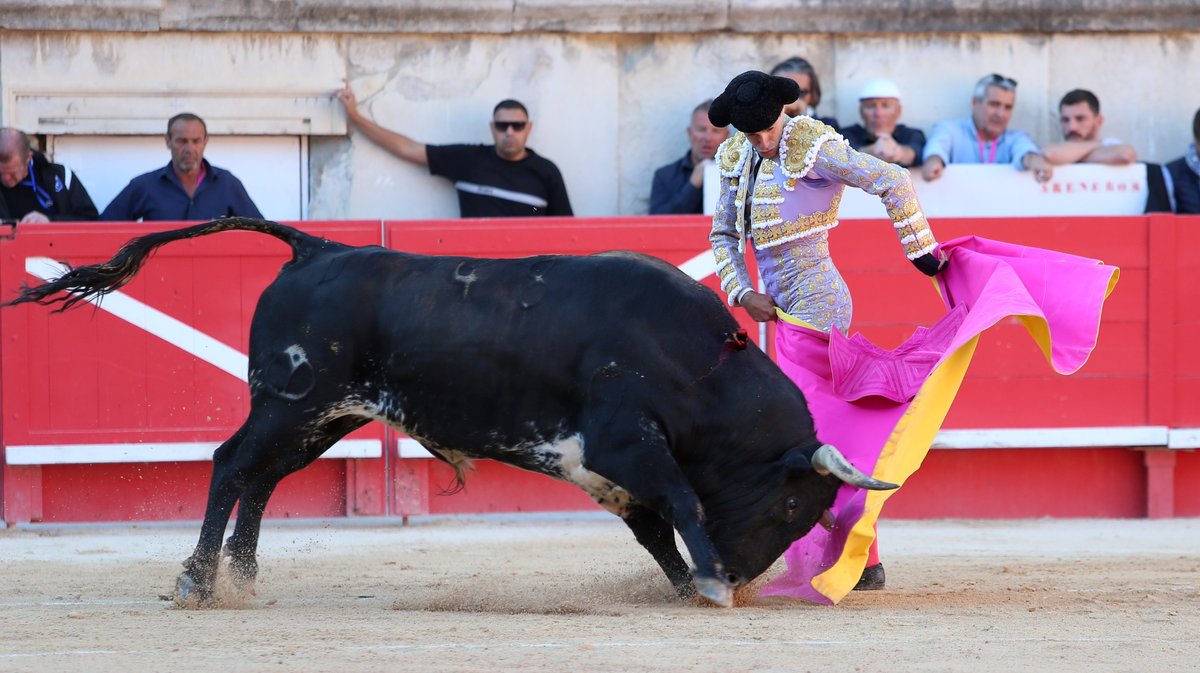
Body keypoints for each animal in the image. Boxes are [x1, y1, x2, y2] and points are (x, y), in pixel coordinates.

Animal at [4, 218, 897, 607]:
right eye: (792, 503)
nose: (746, 575)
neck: (702, 364)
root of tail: (318, 248)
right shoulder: (626, 443)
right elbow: (679, 500)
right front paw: (707, 580)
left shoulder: (602, 465)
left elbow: (654, 524)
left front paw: (686, 582)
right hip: (292, 400)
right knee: (230, 464)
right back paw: (196, 578)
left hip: (324, 415)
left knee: (260, 478)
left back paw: (243, 574)